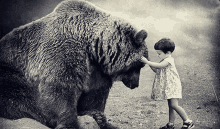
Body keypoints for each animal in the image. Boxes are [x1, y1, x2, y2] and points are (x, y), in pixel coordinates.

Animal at [0, 0, 149, 129]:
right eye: (139, 66)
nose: (135, 84)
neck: (93, 47)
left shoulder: (96, 70)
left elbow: (95, 95)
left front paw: (100, 118)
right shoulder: (62, 52)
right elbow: (60, 89)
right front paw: (70, 123)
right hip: (12, 73)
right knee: (19, 98)